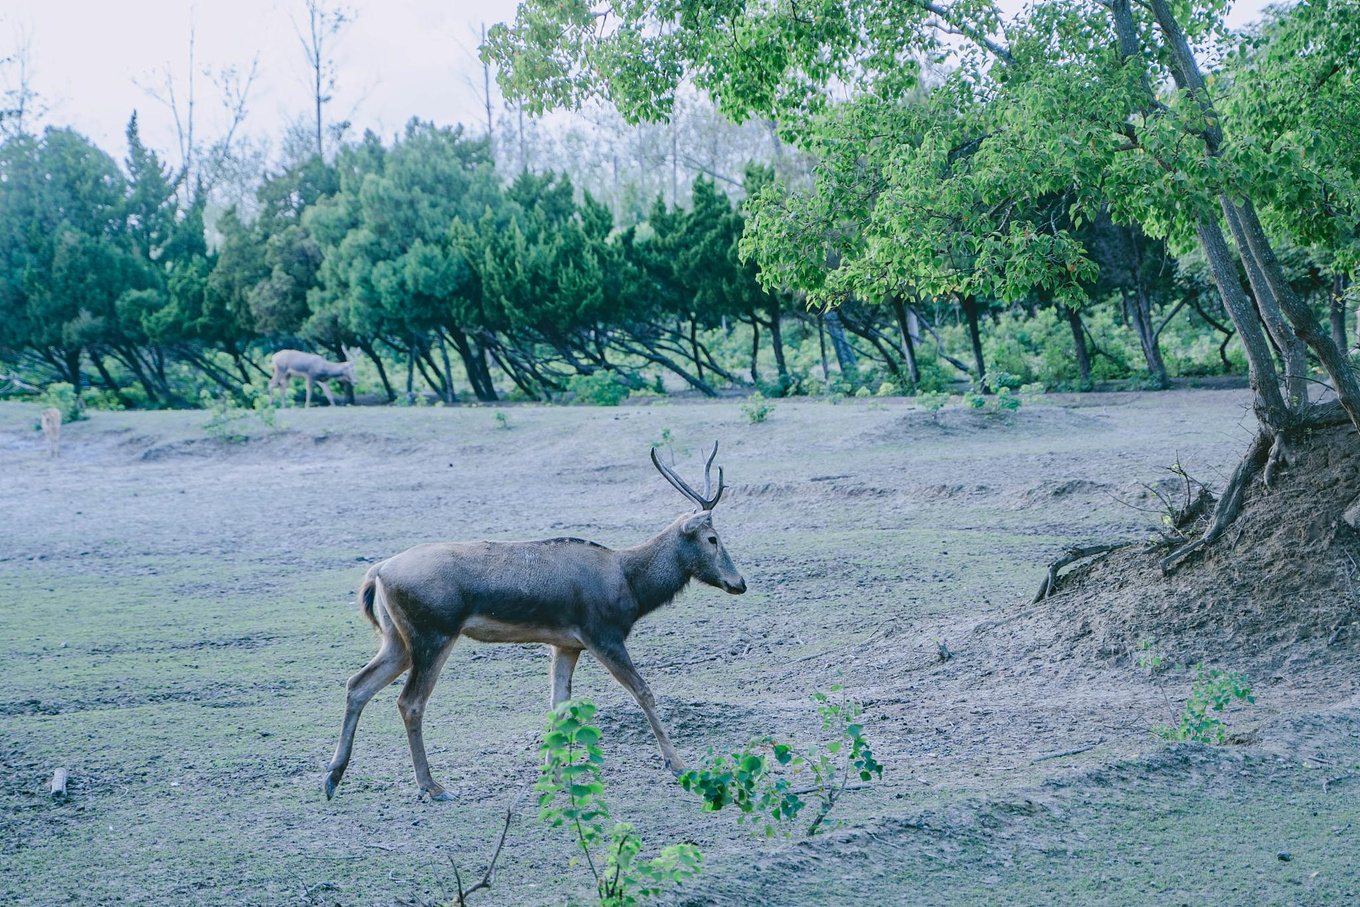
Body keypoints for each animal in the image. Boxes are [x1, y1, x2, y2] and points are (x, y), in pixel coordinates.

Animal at [323, 440, 750, 799]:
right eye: (712, 538)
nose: (739, 582)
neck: (630, 585)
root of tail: (377, 572)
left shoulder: (566, 643)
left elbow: (558, 705)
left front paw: (553, 775)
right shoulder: (602, 633)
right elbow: (643, 691)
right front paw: (677, 765)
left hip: (397, 639)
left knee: (357, 683)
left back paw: (332, 777)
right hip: (433, 633)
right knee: (410, 701)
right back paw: (432, 786)